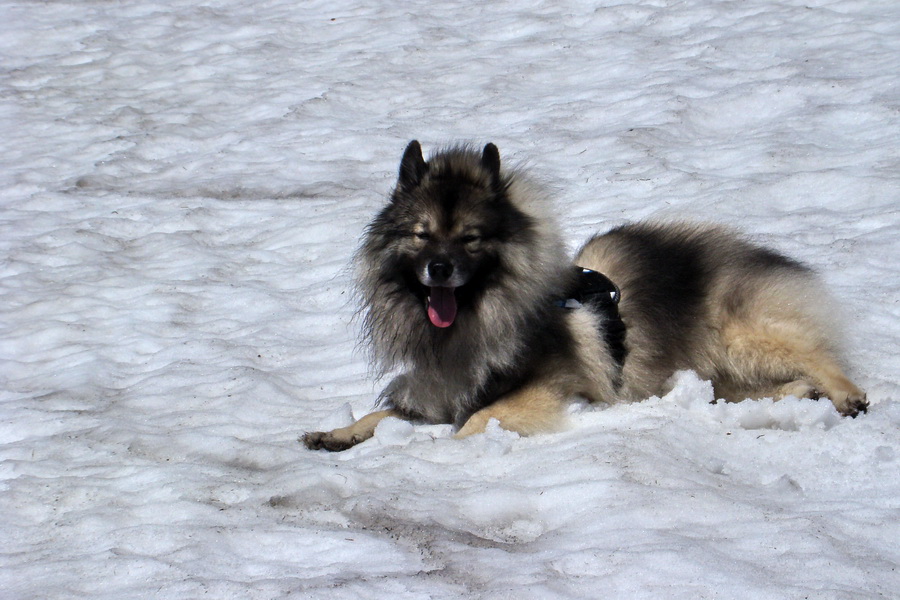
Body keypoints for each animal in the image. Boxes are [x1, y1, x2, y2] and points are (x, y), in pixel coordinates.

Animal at [302, 142, 864, 450]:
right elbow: (379, 415)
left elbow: (475, 422)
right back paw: (801, 396)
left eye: (469, 238)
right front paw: (335, 434)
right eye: (421, 235)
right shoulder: (443, 389)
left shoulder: (546, 387)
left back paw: (846, 396)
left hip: (742, 338)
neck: (474, 323)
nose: (439, 269)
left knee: (819, 358)